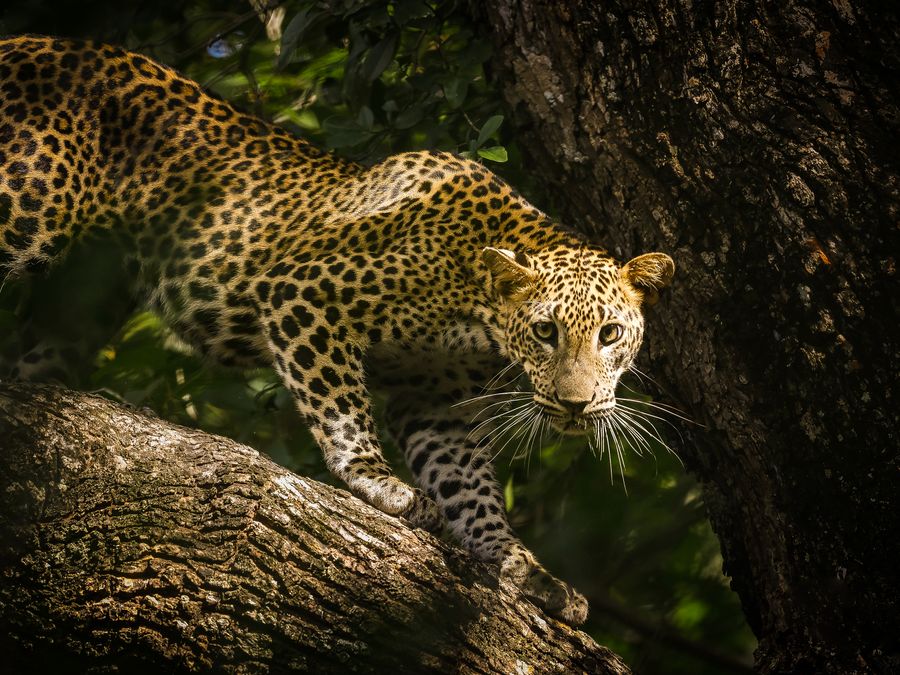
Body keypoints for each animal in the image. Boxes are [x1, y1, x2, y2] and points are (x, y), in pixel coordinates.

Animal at [0, 35, 674, 625]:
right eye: (544, 332)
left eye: (610, 335)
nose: (576, 404)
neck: (477, 306)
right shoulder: (302, 294)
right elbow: (342, 409)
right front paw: (378, 482)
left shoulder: (431, 397)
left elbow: (469, 485)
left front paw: (523, 569)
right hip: (25, 213)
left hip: (85, 296)